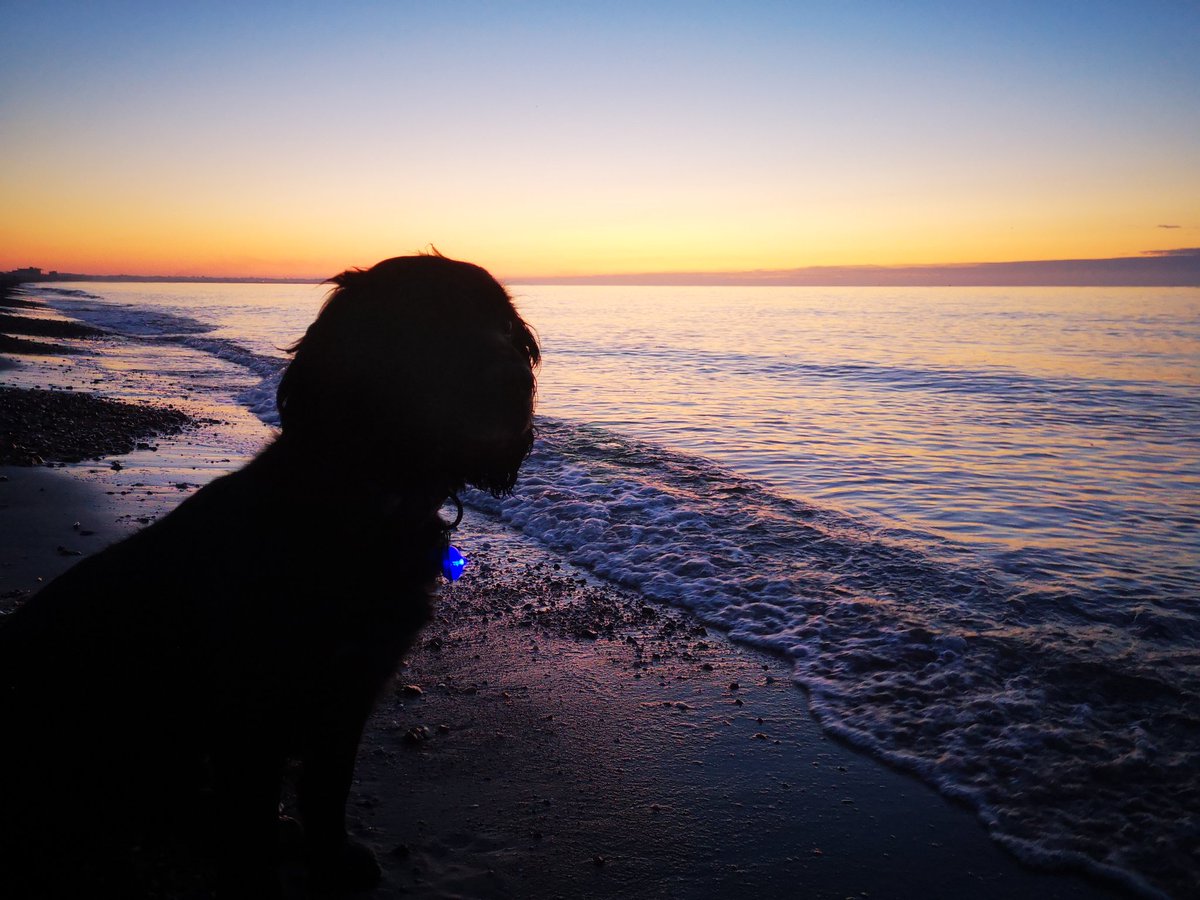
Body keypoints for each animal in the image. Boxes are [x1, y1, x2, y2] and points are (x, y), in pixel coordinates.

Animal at [0, 256, 540, 897]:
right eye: (430, 319)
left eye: (505, 326)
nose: (515, 381)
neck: (366, 504)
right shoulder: (253, 706)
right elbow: (252, 823)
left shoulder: (351, 687)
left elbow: (328, 785)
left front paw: (331, 857)